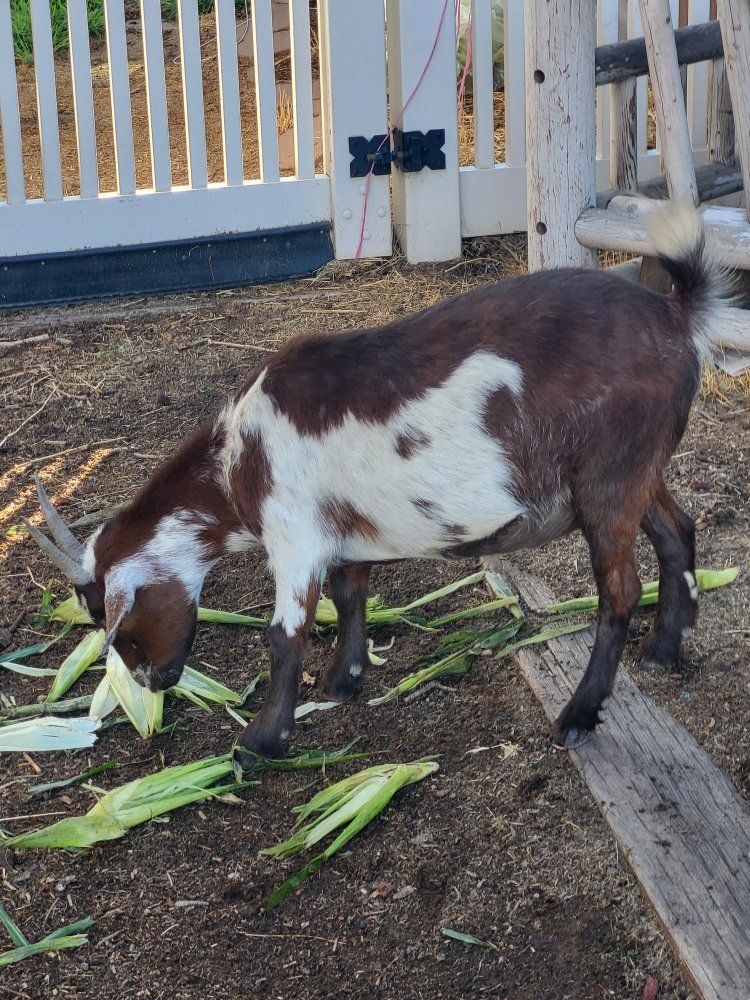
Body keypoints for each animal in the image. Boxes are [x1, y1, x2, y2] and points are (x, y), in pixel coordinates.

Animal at [25, 201, 749, 757]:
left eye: (115, 623)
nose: (154, 683)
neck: (237, 460)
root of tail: (675, 317)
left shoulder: (294, 535)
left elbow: (285, 635)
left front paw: (260, 740)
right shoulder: (344, 530)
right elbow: (351, 593)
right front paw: (343, 680)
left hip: (608, 475)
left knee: (618, 590)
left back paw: (578, 715)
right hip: (636, 470)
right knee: (677, 531)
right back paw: (665, 647)